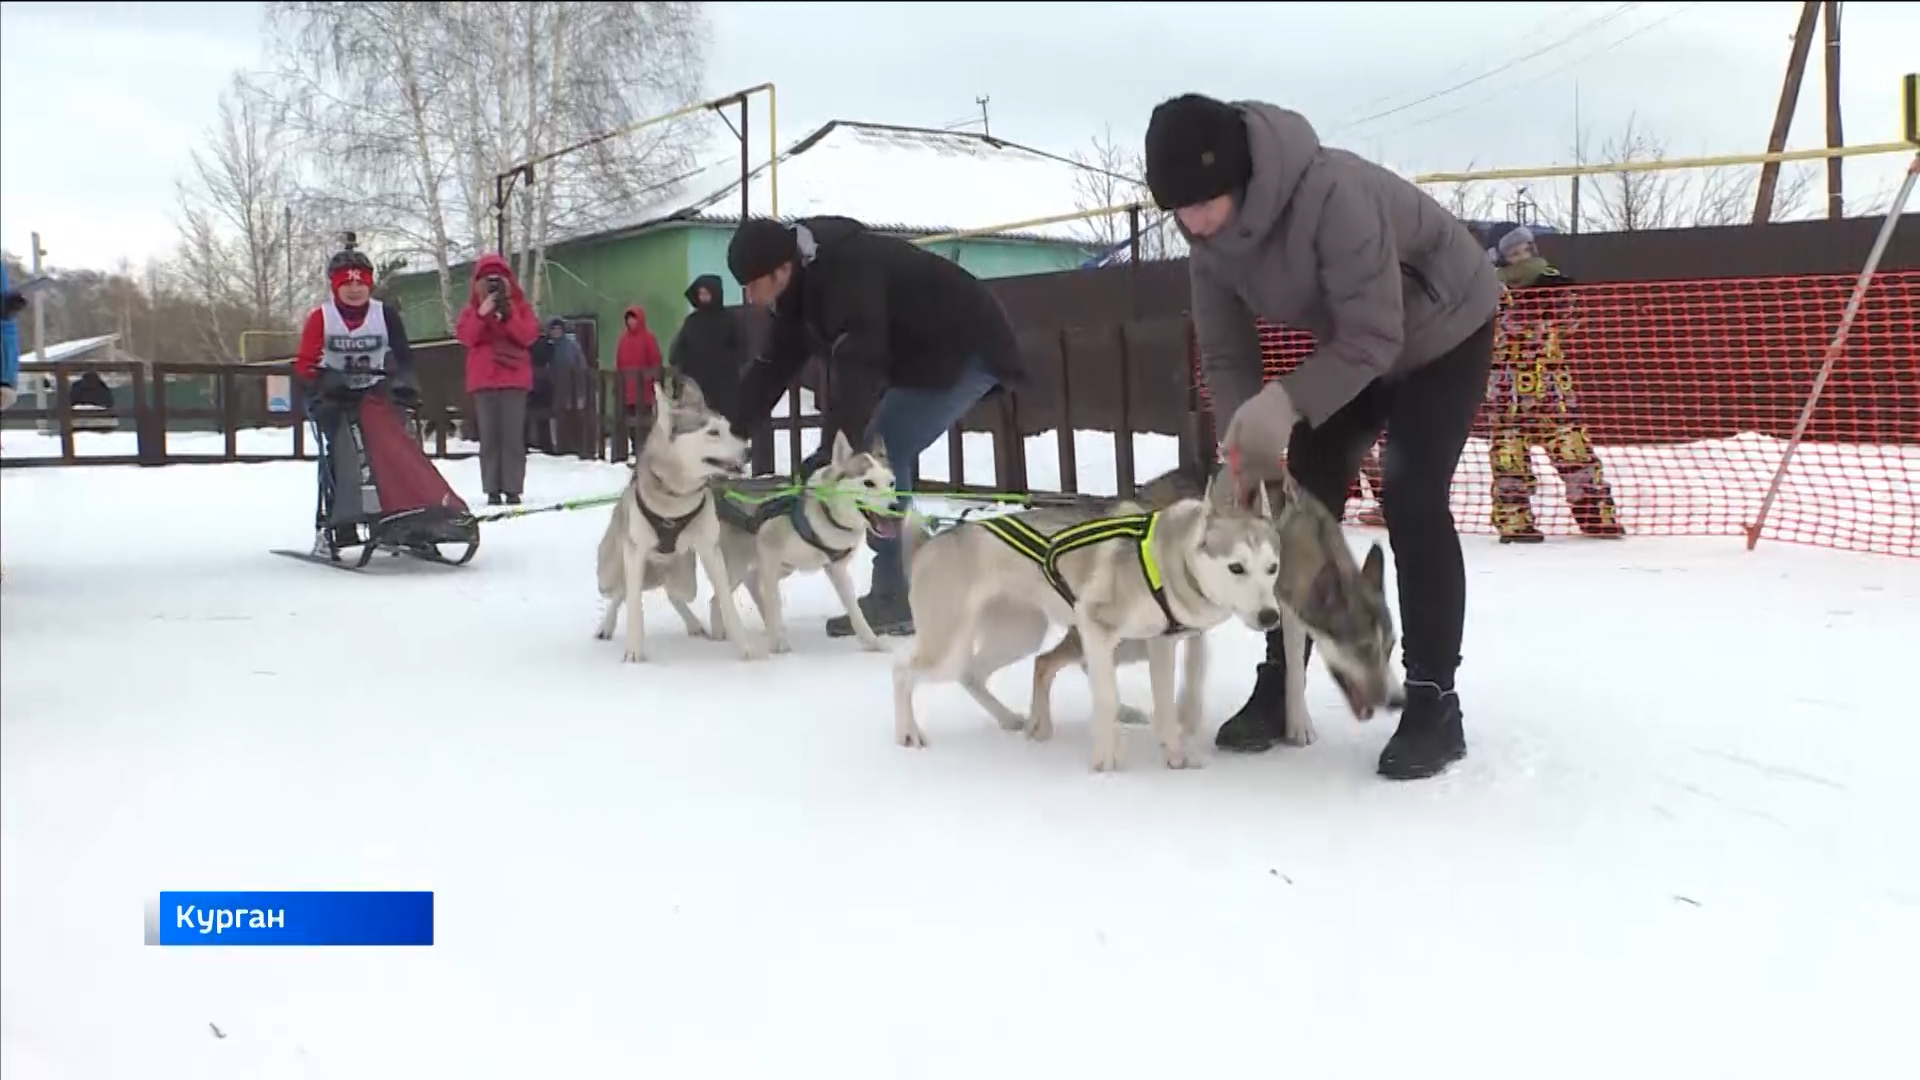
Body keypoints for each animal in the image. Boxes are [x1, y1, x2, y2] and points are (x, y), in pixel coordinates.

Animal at [591, 374, 756, 661]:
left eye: (727, 428)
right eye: (713, 432)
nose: (748, 452)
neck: (676, 497)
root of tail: (660, 567)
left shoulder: (710, 550)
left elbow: (725, 598)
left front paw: (744, 646)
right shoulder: (635, 552)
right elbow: (633, 606)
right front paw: (634, 652)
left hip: (685, 580)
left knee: (673, 593)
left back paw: (693, 624)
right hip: (609, 572)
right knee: (620, 590)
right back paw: (606, 626)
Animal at [714, 432, 898, 653]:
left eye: (891, 483)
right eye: (868, 483)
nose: (896, 506)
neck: (824, 511)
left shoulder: (837, 569)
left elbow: (855, 611)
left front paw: (872, 641)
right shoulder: (769, 552)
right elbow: (773, 601)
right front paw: (778, 642)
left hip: (778, 567)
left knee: (752, 584)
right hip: (738, 565)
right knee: (717, 597)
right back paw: (720, 633)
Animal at [887, 474, 1282, 768]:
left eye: (1272, 567)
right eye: (1236, 567)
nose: (1270, 616)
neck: (1169, 560)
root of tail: (930, 544)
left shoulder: (1170, 639)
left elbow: (1185, 693)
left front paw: (1177, 751)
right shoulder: (1095, 624)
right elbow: (1106, 696)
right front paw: (1105, 760)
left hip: (1022, 634)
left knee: (973, 672)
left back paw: (1011, 719)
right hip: (946, 644)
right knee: (903, 667)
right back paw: (908, 733)